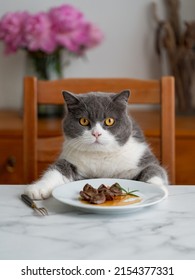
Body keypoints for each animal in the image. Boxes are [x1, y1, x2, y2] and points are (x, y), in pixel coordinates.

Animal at [24, 89, 168, 199]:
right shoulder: (70, 159)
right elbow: (57, 169)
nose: (96, 133)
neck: (100, 156)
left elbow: (154, 168)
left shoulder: (141, 157)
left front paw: (158, 188)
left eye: (109, 121)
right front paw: (37, 189)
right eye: (83, 121)